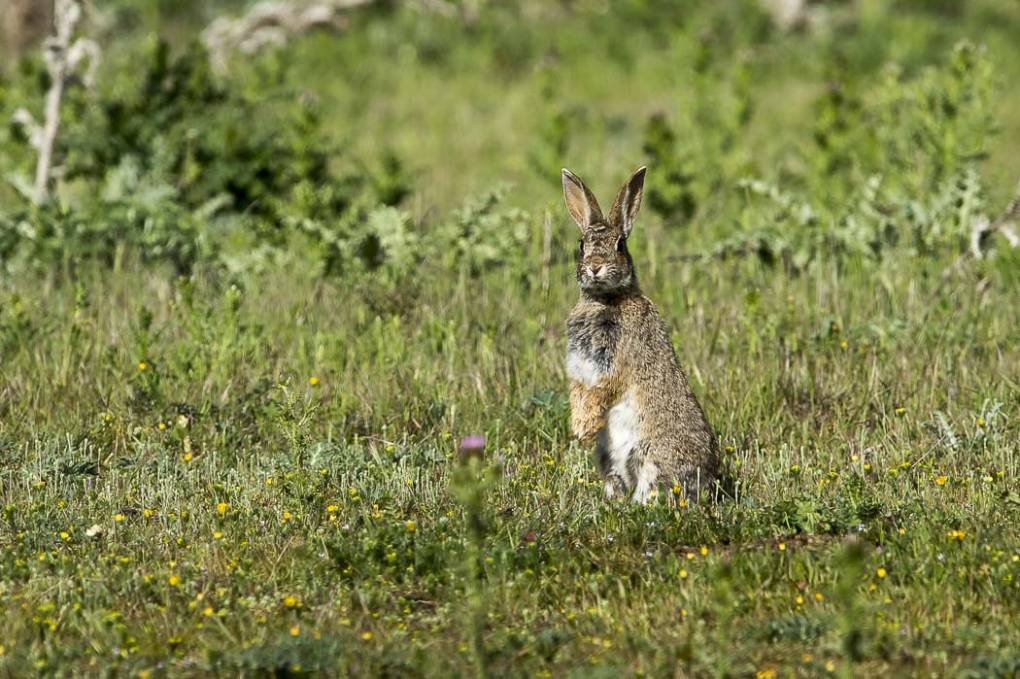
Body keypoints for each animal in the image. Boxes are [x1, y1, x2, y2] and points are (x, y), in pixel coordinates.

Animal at [563, 164, 722, 501]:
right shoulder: (578, 370)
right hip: (610, 461)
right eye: (581, 245)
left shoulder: (617, 361)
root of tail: (707, 484)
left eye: (620, 245)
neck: (606, 299)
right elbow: (578, 392)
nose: (595, 266)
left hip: (651, 456)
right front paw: (580, 427)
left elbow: (603, 389)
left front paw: (585, 426)